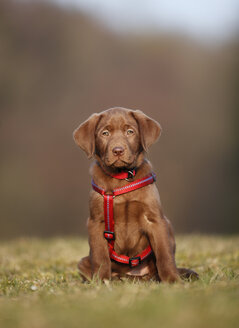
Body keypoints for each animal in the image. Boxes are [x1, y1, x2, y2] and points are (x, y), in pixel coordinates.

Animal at [73, 107, 198, 282]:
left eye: (130, 131)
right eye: (105, 133)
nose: (118, 150)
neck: (122, 178)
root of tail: (131, 275)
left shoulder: (155, 220)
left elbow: (164, 254)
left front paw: (172, 280)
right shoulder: (96, 222)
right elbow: (100, 257)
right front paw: (102, 282)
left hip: (168, 225)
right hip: (83, 262)